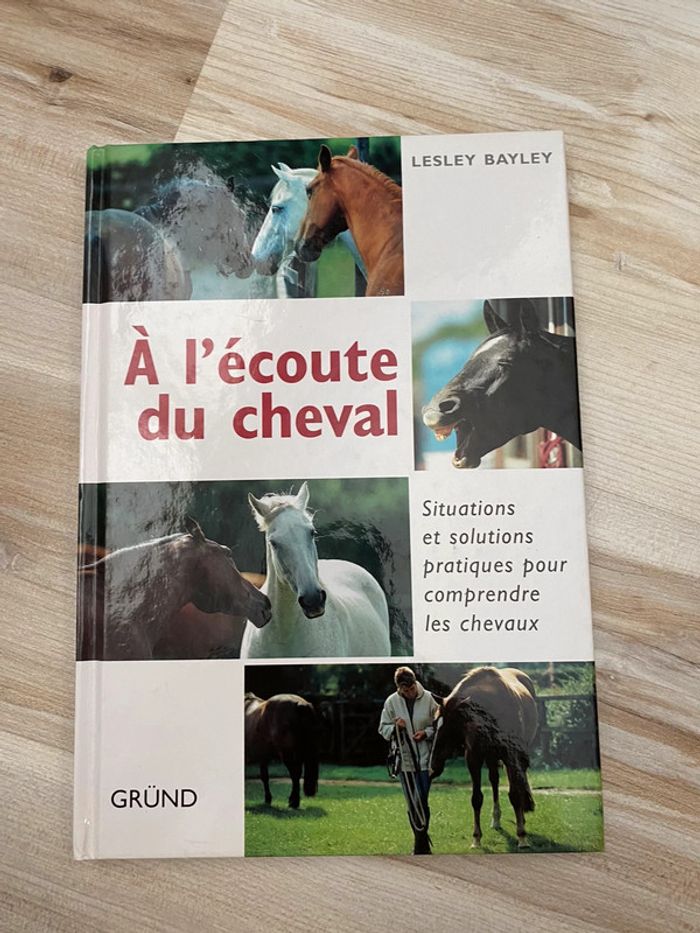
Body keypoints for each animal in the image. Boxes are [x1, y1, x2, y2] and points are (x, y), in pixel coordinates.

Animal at [430, 667, 539, 849]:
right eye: (434, 724)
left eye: (450, 726)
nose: (433, 765)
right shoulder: (474, 759)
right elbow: (476, 798)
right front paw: (476, 838)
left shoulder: (510, 756)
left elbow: (515, 795)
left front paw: (522, 836)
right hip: (491, 757)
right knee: (494, 781)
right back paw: (496, 820)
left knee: (520, 781)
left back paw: (521, 821)